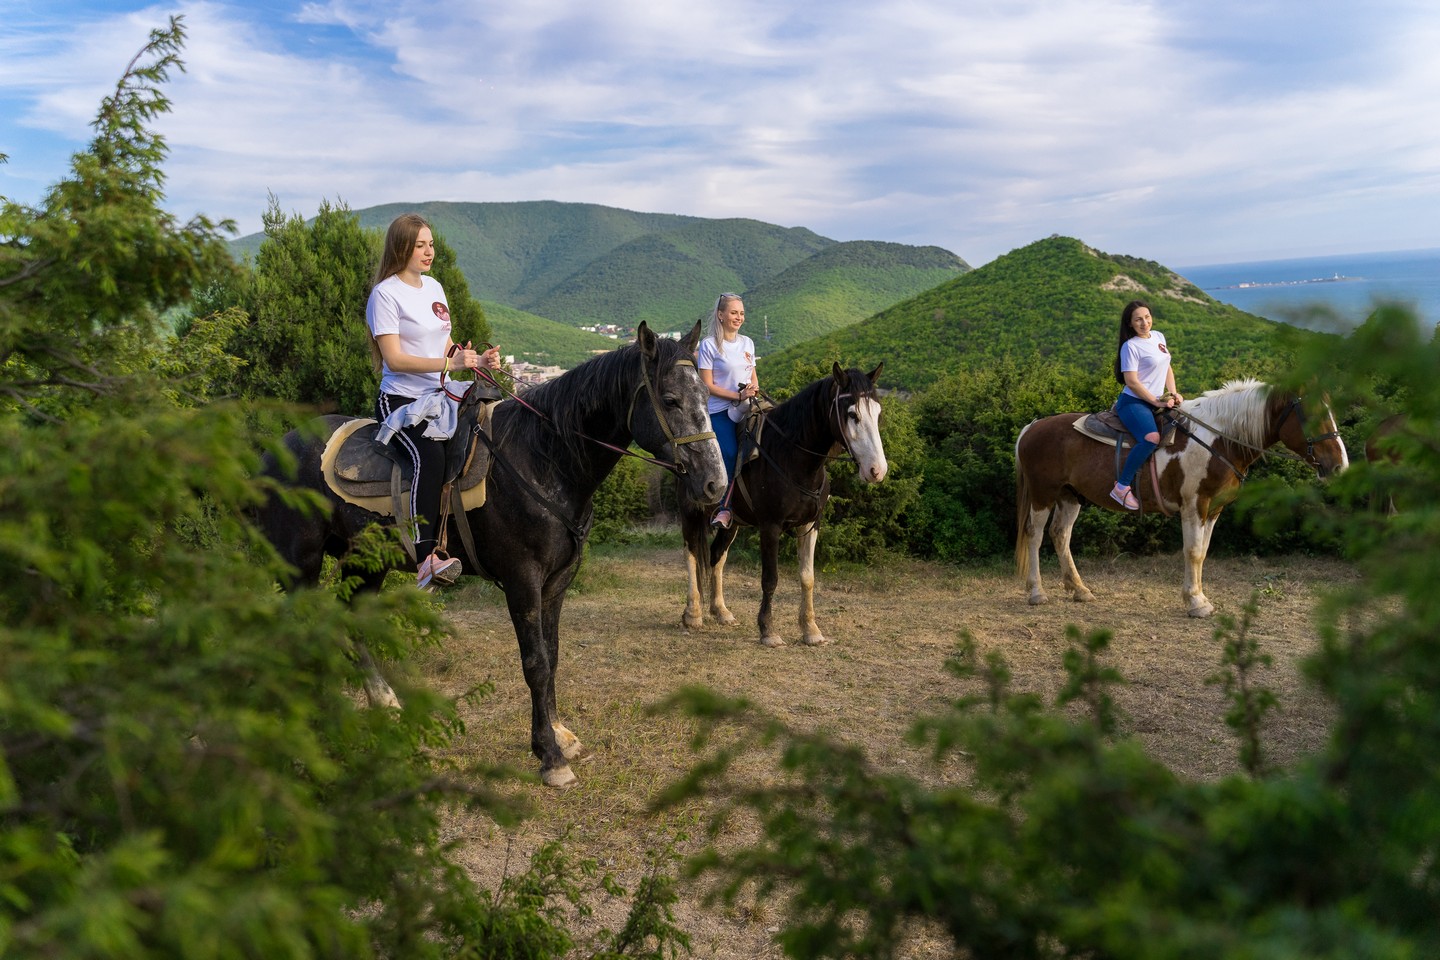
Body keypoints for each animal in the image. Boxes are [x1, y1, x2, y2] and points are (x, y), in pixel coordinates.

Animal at [676, 364, 887, 650]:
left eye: (878, 412)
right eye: (852, 414)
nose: (877, 470)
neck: (792, 457)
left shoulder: (810, 525)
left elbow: (807, 577)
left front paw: (811, 630)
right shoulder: (770, 526)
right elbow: (770, 578)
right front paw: (768, 630)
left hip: (731, 523)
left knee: (716, 555)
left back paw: (721, 611)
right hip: (690, 511)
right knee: (691, 555)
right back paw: (693, 614)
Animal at [1019, 379, 1342, 618]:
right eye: (1311, 415)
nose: (1338, 466)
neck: (1218, 440)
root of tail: (1032, 426)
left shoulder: (1214, 509)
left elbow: (1202, 552)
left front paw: (1197, 597)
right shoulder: (1194, 505)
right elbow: (1193, 551)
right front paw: (1197, 603)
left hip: (1070, 496)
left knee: (1060, 534)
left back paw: (1079, 590)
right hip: (1043, 493)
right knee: (1035, 535)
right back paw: (1037, 592)